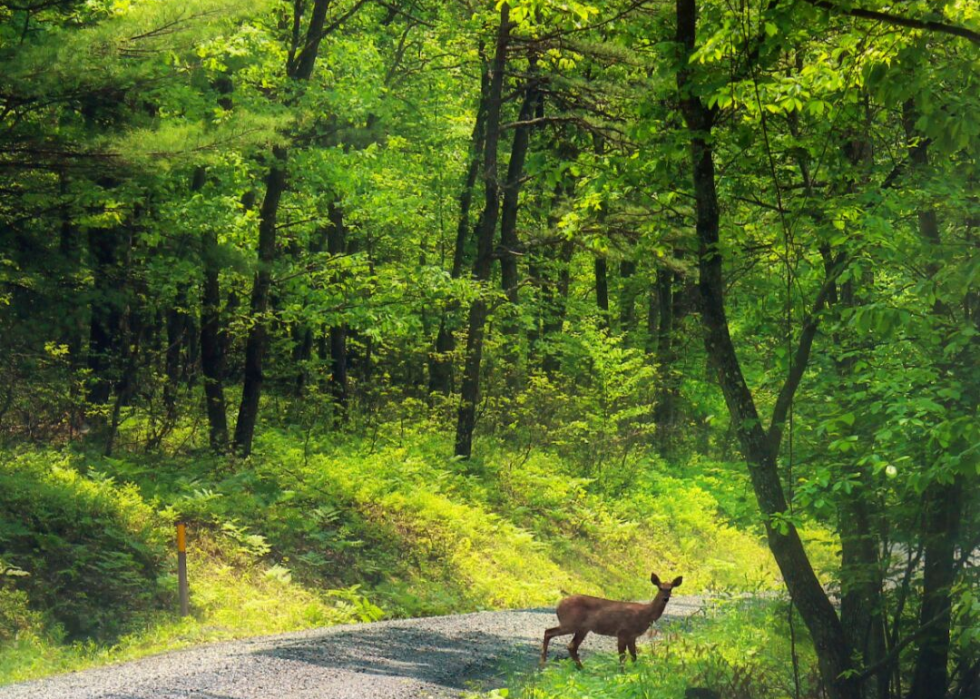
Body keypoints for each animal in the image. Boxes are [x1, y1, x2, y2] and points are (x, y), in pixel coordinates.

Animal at [540, 576, 684, 668]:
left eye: (671, 588)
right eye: (660, 587)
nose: (665, 598)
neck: (645, 614)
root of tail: (558, 605)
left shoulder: (632, 636)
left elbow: (633, 656)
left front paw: (636, 673)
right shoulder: (623, 632)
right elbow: (622, 656)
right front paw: (623, 673)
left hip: (582, 628)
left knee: (571, 645)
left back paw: (581, 668)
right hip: (570, 623)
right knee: (549, 632)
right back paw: (543, 663)